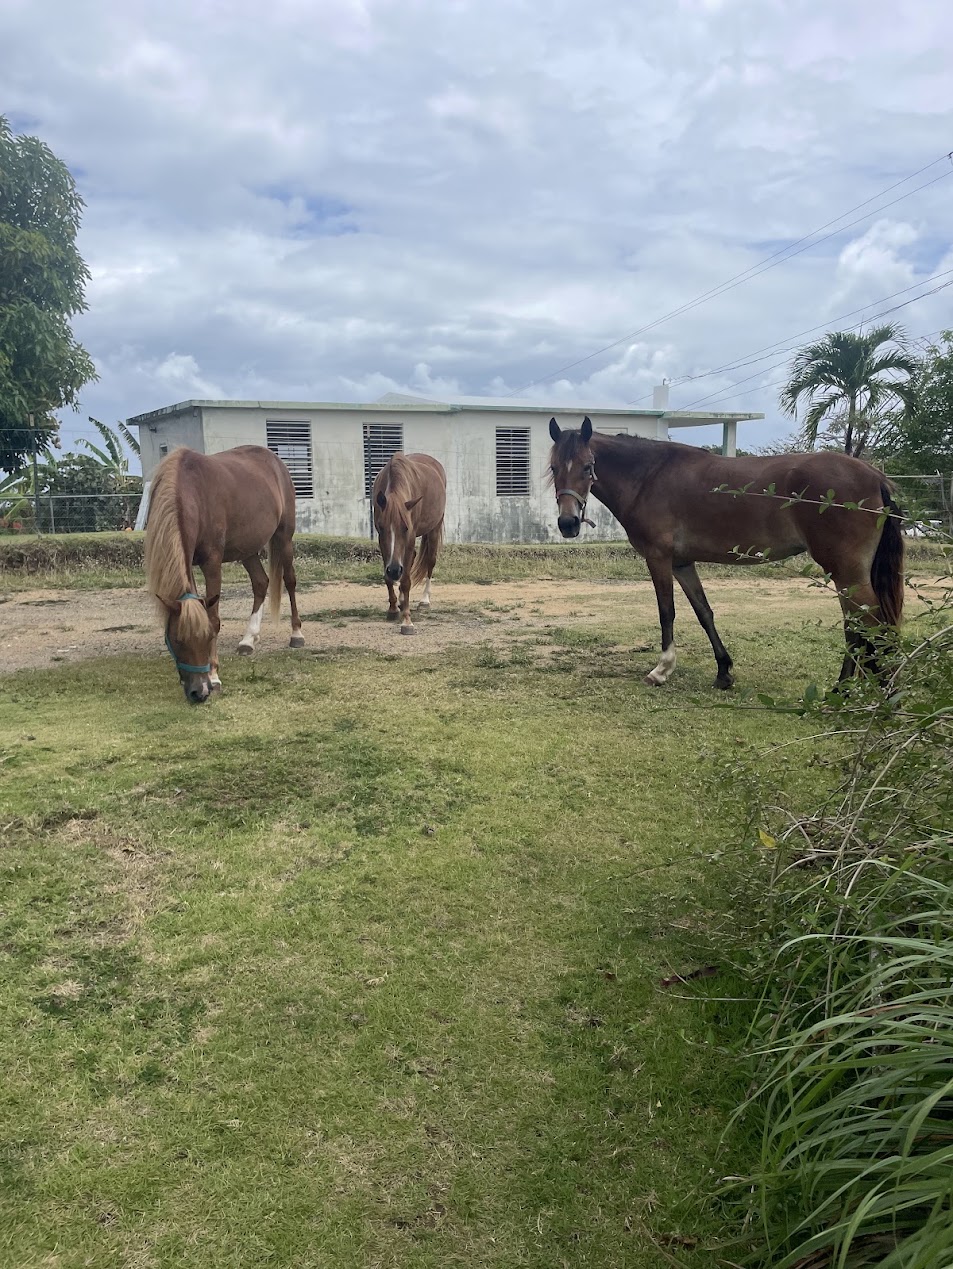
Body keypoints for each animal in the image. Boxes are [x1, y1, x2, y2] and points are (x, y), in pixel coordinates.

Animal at [144, 445, 304, 703]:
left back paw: (296, 634)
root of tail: (274, 460)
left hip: (284, 537)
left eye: (208, 637)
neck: (190, 490)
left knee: (289, 581)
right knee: (261, 583)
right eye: (177, 640)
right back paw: (249, 639)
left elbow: (214, 617)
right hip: (247, 549)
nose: (199, 691)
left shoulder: (212, 562)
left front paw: (215, 676)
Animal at [371, 452, 446, 634]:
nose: (394, 570)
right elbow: (388, 578)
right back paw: (401, 599)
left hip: (434, 528)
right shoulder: (382, 542)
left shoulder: (411, 536)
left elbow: (406, 581)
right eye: (382, 527)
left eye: (405, 527)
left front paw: (407, 621)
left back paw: (424, 600)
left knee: (430, 562)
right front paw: (393, 608)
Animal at [548, 416, 904, 689]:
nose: (567, 523)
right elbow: (704, 612)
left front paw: (662, 670)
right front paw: (723, 672)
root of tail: (875, 475)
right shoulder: (682, 563)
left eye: (588, 467)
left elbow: (667, 612)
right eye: (553, 468)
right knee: (859, 623)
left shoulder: (659, 559)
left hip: (846, 571)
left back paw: (857, 688)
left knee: (866, 621)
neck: (648, 477)